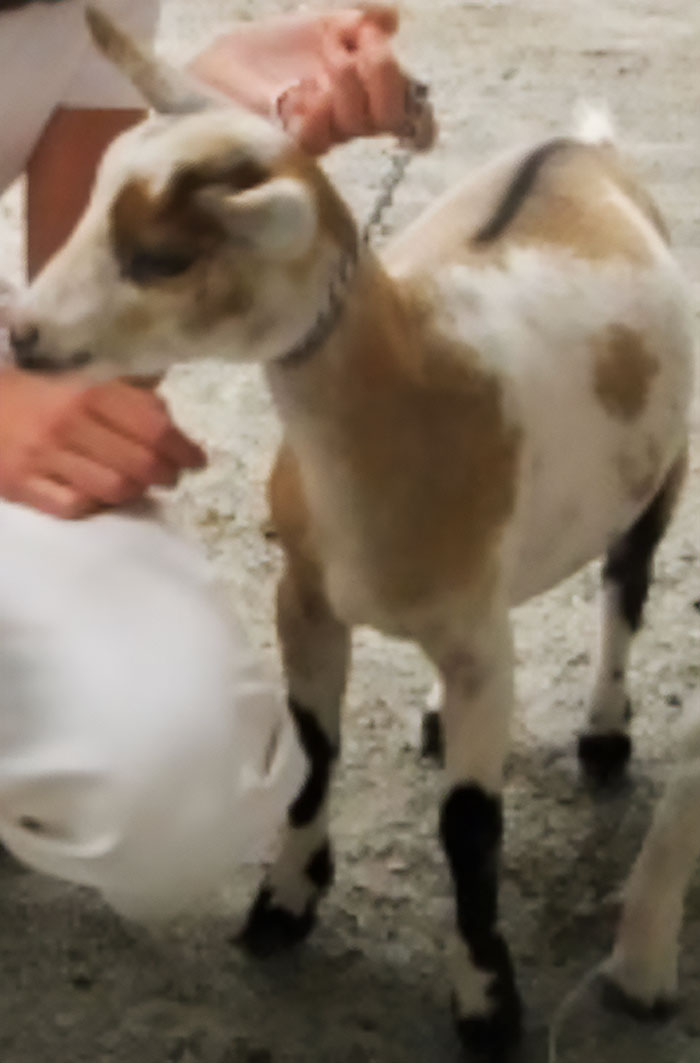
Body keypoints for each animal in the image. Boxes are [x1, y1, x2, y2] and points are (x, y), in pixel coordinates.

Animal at [9, 8, 695, 1058]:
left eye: (163, 257)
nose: (24, 336)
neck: (417, 387)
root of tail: (581, 146)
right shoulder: (308, 594)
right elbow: (313, 750)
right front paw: (285, 901)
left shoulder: (478, 640)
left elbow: (469, 825)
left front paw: (485, 999)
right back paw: (436, 713)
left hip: (665, 468)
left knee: (627, 582)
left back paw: (606, 734)